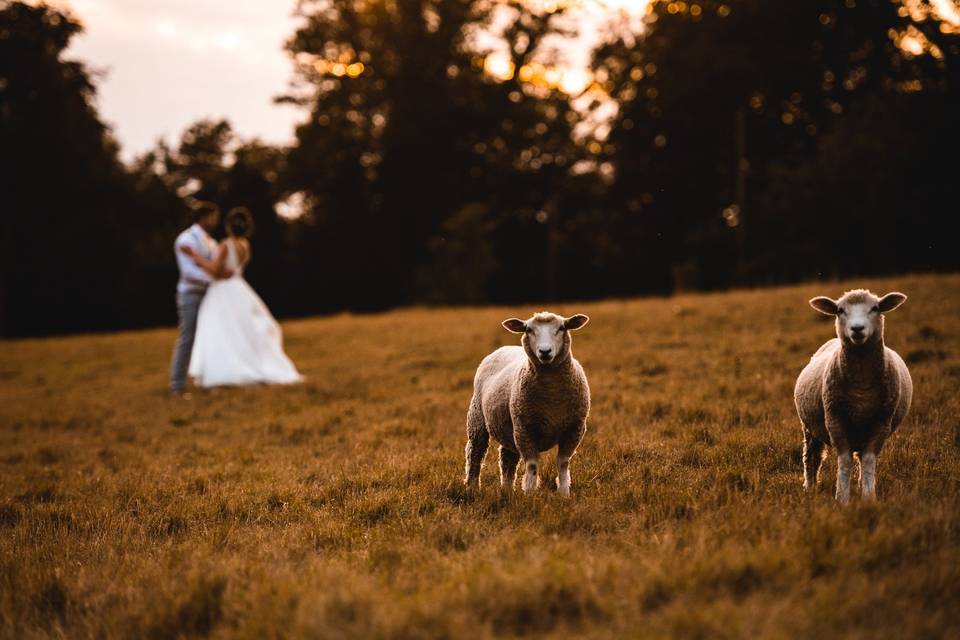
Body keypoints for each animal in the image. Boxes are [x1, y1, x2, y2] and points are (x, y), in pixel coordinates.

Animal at [462, 312, 588, 498]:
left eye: (561, 328)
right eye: (528, 329)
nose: (545, 351)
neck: (552, 398)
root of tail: (504, 347)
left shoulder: (574, 429)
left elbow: (563, 463)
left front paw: (564, 493)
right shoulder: (525, 429)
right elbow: (532, 465)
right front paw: (529, 493)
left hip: (508, 425)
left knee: (507, 459)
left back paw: (507, 490)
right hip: (478, 419)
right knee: (475, 454)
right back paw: (472, 488)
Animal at [796, 290, 916, 504]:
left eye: (875, 308)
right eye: (840, 310)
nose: (857, 328)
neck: (861, 389)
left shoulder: (881, 423)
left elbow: (868, 460)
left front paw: (868, 497)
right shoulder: (835, 420)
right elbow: (844, 461)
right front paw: (842, 499)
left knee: (859, 457)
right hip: (809, 427)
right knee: (811, 457)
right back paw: (809, 488)